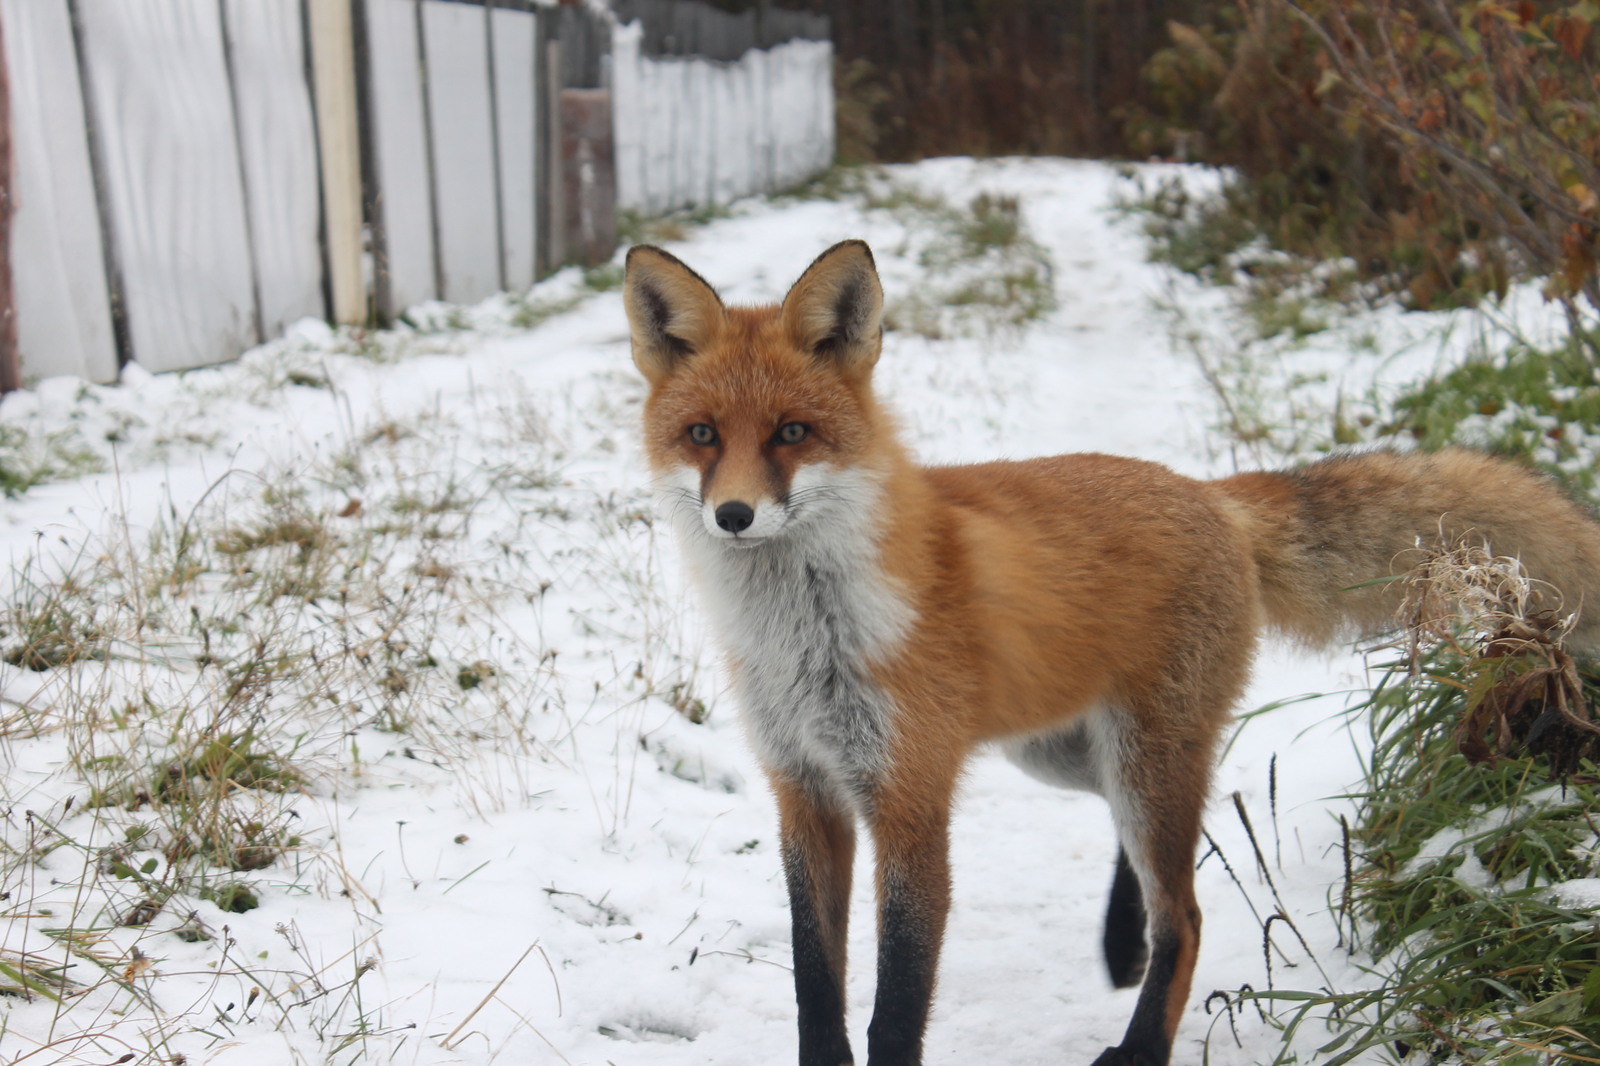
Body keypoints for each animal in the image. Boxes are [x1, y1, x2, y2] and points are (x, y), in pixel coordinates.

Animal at [620, 240, 1600, 1062]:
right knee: (1159, 856)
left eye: (791, 433)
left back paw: (1137, 1046)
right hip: (1066, 753)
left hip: (1138, 756)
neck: (804, 635)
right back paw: (1122, 941)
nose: (734, 515)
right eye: (703, 435)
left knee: (1189, 913)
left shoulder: (909, 802)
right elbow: (815, 988)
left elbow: (895, 1006)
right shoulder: (805, 791)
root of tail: (1212, 495)